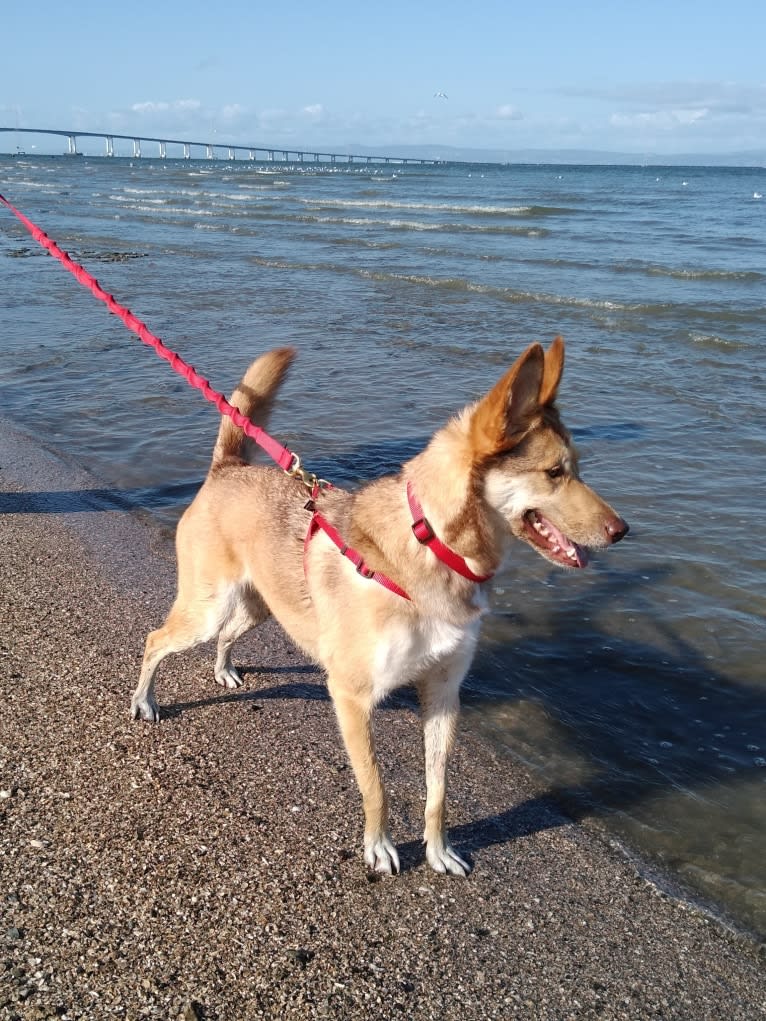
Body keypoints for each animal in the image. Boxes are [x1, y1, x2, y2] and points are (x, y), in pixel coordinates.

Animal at [131, 341, 629, 878]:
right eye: (554, 473)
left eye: (577, 469)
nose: (622, 531)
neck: (432, 548)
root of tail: (228, 469)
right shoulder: (352, 697)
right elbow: (376, 786)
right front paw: (380, 845)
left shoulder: (443, 694)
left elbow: (438, 791)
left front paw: (438, 849)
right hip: (205, 610)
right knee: (156, 640)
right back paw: (144, 700)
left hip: (262, 605)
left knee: (227, 635)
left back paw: (223, 669)